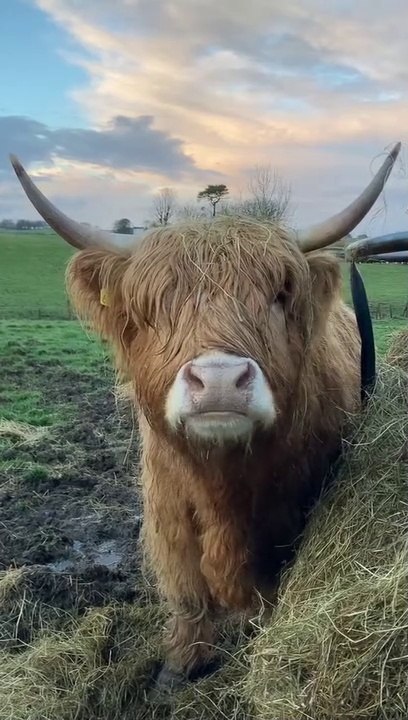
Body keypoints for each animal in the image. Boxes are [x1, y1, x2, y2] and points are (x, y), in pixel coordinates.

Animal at [10, 143, 405, 691]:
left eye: (279, 295)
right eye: (152, 305)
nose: (218, 380)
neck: (223, 486)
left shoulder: (290, 515)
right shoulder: (169, 512)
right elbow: (187, 590)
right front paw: (178, 667)